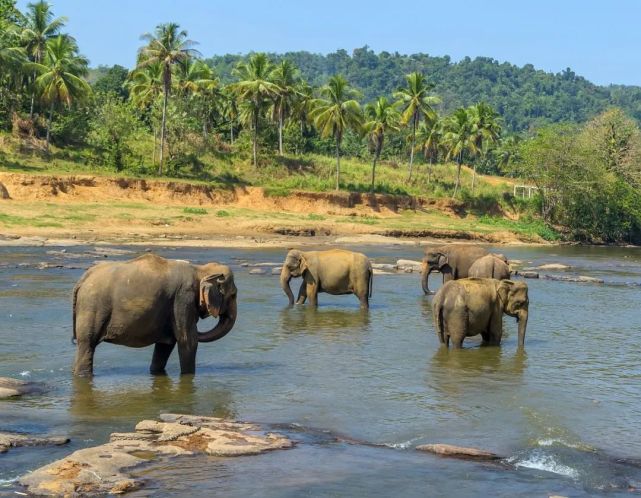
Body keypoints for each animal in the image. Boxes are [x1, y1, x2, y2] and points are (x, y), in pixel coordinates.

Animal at [72, 255, 238, 376]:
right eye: (233, 295)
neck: (199, 269)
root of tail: (82, 279)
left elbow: (166, 344)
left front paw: (156, 373)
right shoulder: (183, 298)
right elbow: (187, 340)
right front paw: (188, 377)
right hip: (92, 307)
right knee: (87, 344)